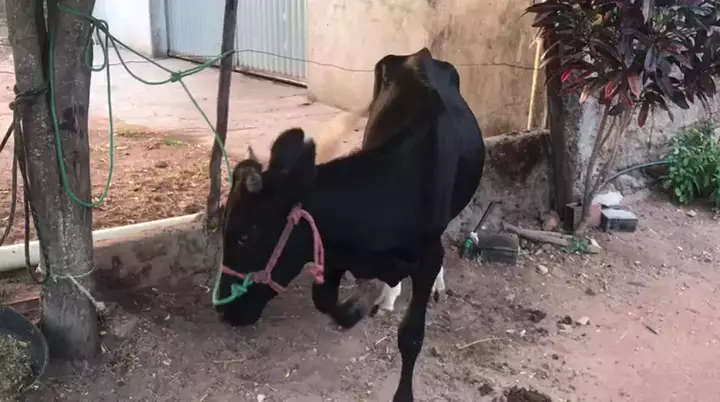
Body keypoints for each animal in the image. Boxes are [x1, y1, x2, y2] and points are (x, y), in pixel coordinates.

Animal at [213, 48, 486, 402]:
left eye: (246, 235)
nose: (224, 310)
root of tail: (420, 54)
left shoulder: (427, 256)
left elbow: (411, 336)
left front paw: (403, 394)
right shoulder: (332, 247)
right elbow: (324, 299)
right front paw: (355, 309)